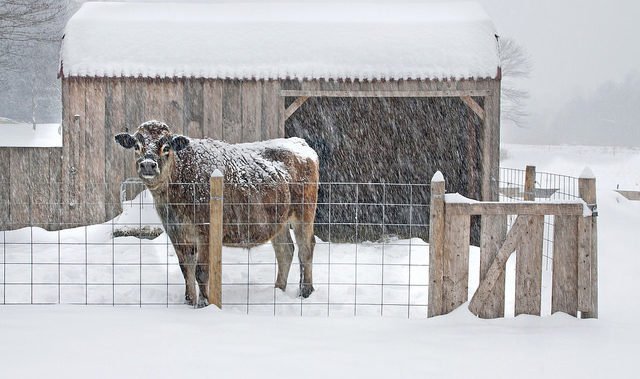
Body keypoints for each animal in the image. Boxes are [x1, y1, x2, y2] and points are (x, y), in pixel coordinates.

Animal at [115, 121, 320, 308]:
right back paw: (277, 290)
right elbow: (186, 269)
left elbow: (201, 271)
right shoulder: (178, 234)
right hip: (279, 222)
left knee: (305, 249)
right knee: (285, 251)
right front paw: (189, 301)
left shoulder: (205, 233)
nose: (148, 165)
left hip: (303, 215)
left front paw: (204, 304)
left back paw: (305, 291)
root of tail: (299, 143)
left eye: (166, 147)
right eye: (136, 145)